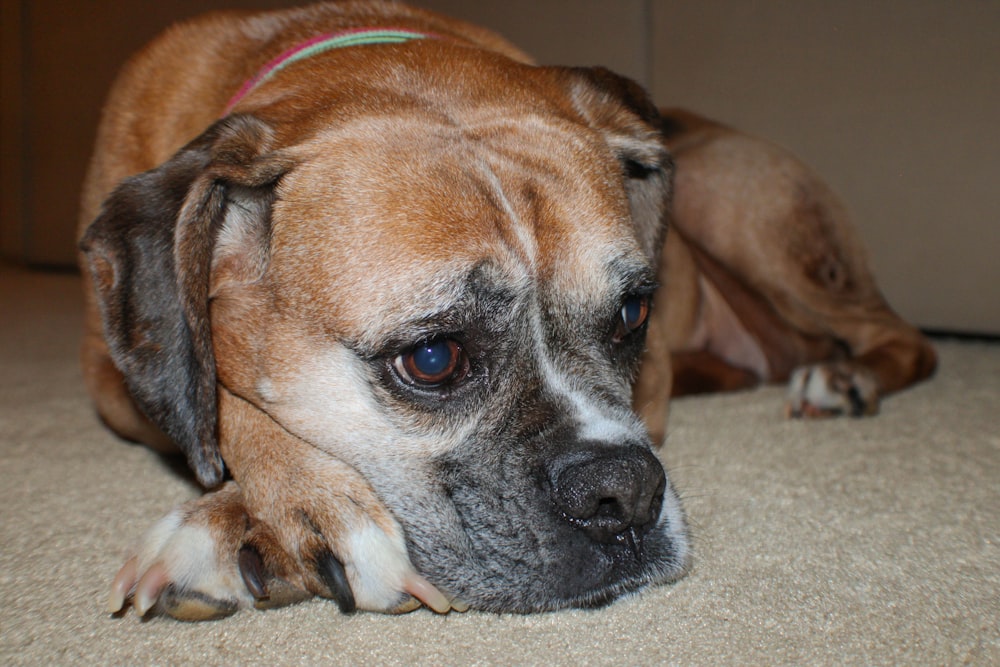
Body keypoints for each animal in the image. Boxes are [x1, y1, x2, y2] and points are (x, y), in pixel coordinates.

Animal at [80, 2, 936, 624]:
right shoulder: (111, 378)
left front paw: (251, 517)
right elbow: (215, 400)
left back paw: (841, 379)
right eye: (432, 359)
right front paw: (298, 501)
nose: (624, 492)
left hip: (740, 205)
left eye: (633, 313)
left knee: (902, 337)